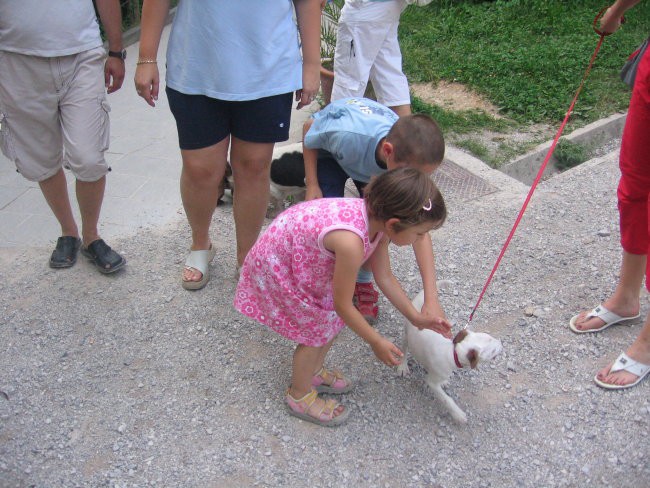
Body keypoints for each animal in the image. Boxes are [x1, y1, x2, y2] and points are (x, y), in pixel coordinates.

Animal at [394, 290, 502, 424]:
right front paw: (458, 414)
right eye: (492, 351)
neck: (452, 353)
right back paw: (402, 366)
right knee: (404, 349)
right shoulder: (432, 383)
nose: (501, 343)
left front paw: (444, 381)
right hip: (406, 333)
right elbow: (447, 399)